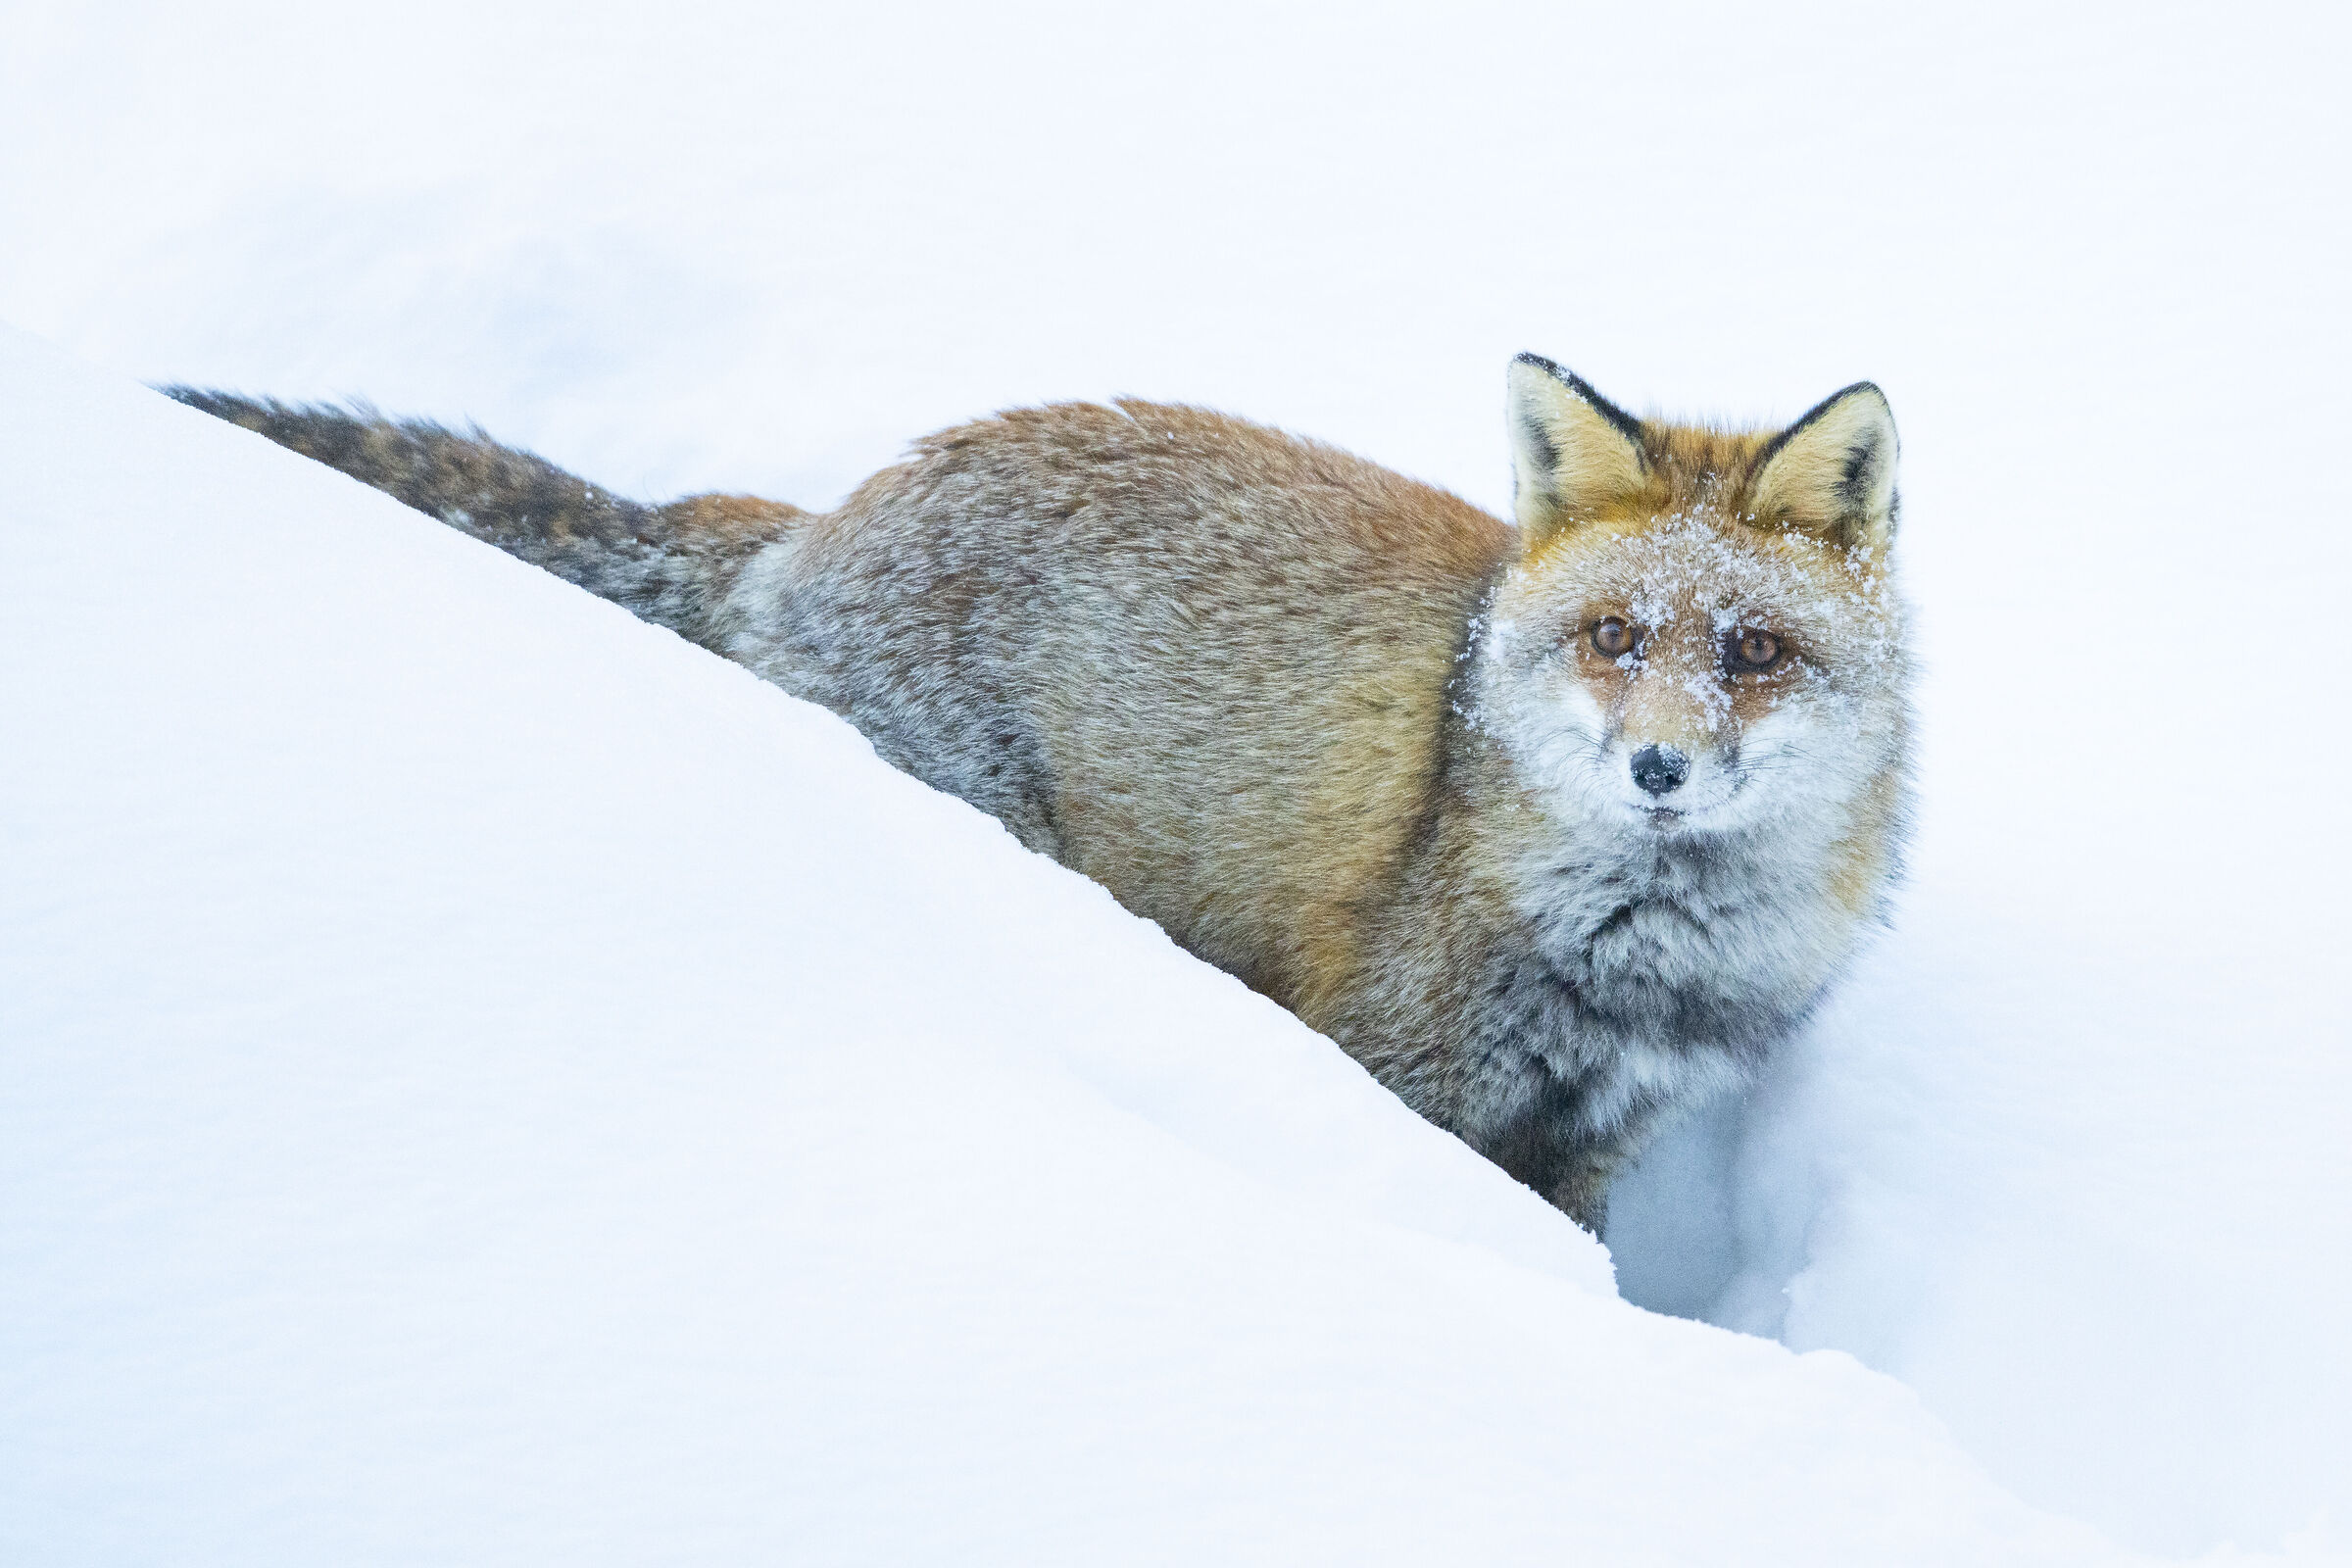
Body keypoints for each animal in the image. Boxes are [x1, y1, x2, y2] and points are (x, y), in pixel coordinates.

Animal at [168, 355, 1912, 1230]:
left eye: (1753, 650)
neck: (1646, 953)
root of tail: (821, 524)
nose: (1659, 767)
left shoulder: (1596, 1142)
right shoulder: (1400, 1069)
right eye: (1616, 638)